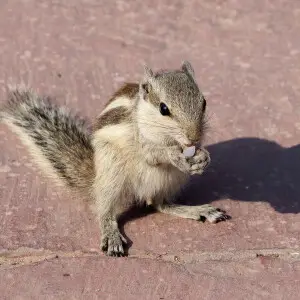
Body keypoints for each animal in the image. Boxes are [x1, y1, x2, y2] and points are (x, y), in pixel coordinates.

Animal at [0, 62, 230, 256]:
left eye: (204, 103)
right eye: (164, 108)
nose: (193, 137)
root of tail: (95, 181)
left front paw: (204, 157)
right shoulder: (140, 139)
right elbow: (153, 154)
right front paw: (174, 155)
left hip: (171, 181)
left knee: (160, 205)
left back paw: (199, 210)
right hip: (112, 173)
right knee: (106, 210)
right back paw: (111, 235)